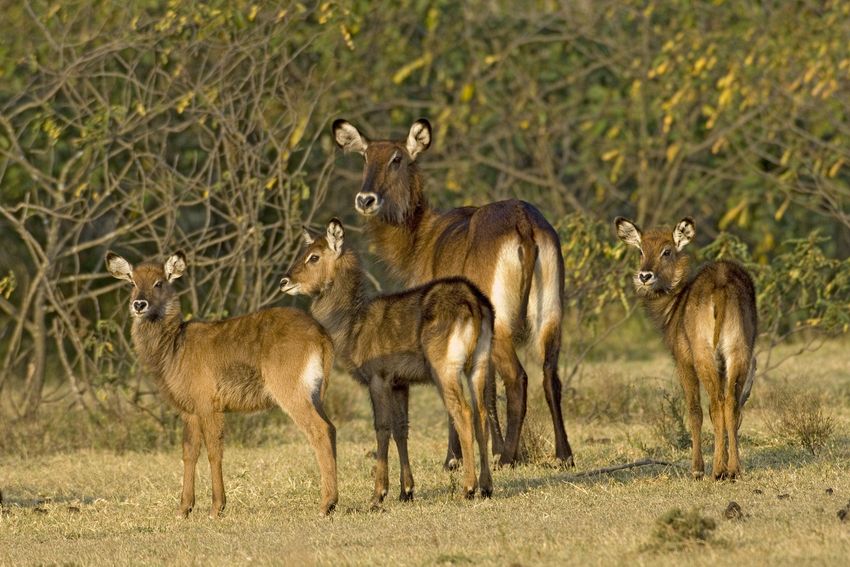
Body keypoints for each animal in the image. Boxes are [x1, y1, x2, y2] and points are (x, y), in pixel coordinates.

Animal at [107, 251, 340, 516]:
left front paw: (216, 507)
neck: (174, 346)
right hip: (315, 393)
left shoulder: (209, 406)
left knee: (320, 430)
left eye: (159, 283)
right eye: (132, 282)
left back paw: (326, 504)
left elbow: (214, 452)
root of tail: (321, 335)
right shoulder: (189, 411)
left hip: (291, 392)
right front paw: (184, 508)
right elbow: (189, 453)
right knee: (331, 428)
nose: (139, 305)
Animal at [280, 219, 490, 506]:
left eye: (314, 256)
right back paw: (487, 487)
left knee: (463, 413)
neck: (353, 323)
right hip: (478, 366)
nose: (285, 281)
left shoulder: (378, 378)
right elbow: (401, 428)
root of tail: (473, 301)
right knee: (482, 413)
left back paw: (468, 488)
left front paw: (378, 494)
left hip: (445, 370)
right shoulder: (400, 382)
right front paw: (406, 491)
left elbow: (382, 427)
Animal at [332, 117, 568, 468]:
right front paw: (488, 448)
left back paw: (508, 458)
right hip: (550, 315)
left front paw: (454, 459)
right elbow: (485, 391)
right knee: (550, 375)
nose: (365, 200)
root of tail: (524, 222)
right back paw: (564, 454)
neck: (423, 236)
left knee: (518, 379)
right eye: (365, 157)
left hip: (501, 323)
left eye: (397, 159)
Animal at [612, 217, 760, 480]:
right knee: (731, 403)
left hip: (704, 356)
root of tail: (721, 285)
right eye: (641, 250)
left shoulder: (683, 362)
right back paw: (734, 469)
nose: (644, 276)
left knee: (715, 404)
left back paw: (716, 470)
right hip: (738, 353)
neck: (675, 303)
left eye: (667, 251)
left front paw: (697, 468)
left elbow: (694, 411)